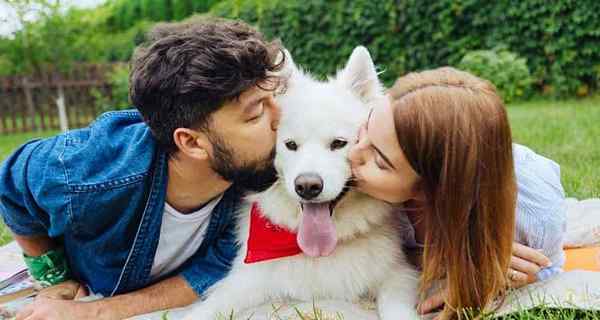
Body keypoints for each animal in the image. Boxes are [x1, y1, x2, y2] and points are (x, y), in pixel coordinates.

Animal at [185, 46, 420, 318]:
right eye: (291, 145)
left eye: (338, 143)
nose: (307, 187)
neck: (318, 250)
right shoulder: (244, 280)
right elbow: (209, 308)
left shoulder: (399, 273)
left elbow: (397, 308)